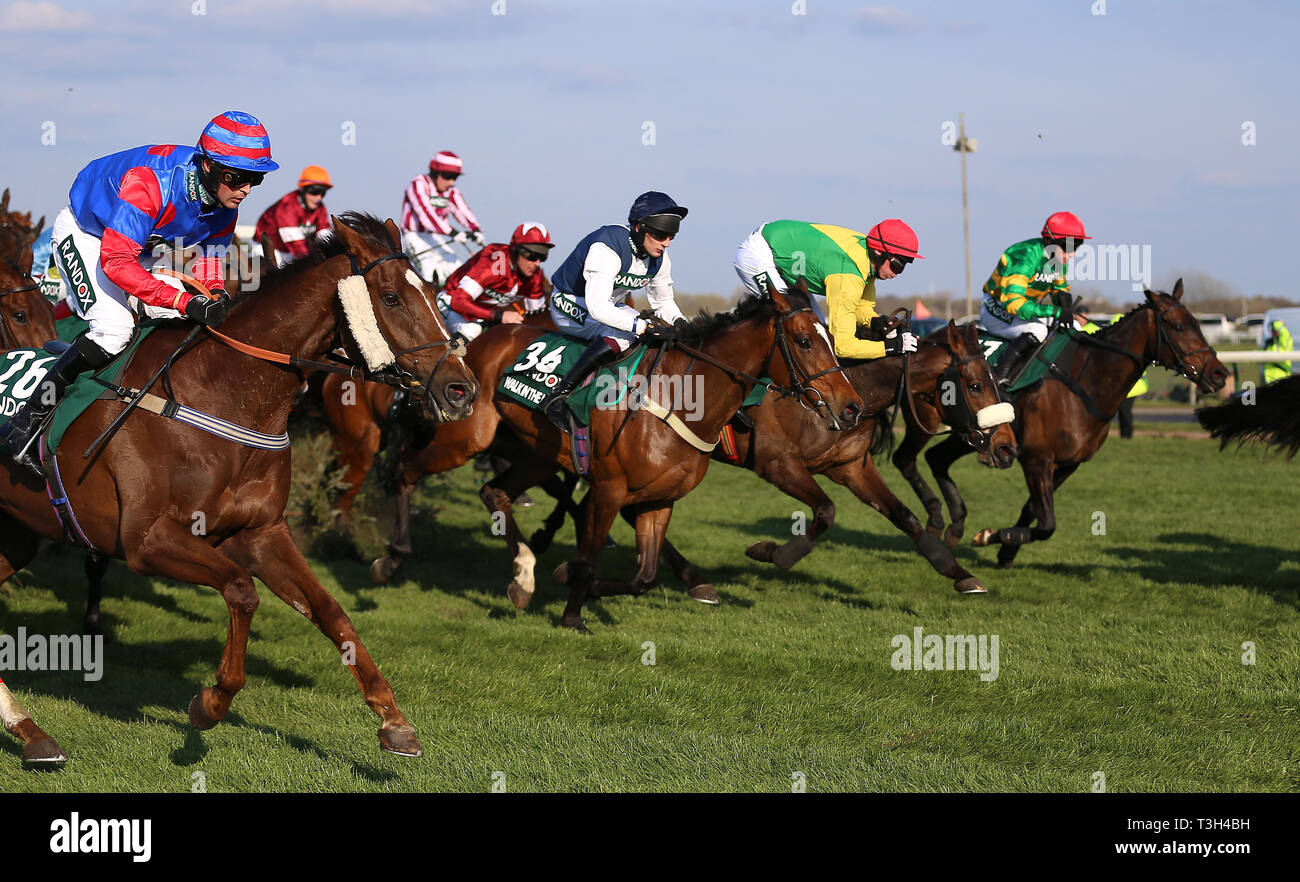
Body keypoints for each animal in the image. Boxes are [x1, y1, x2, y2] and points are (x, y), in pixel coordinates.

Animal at [0, 214, 478, 764]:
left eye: (434, 293)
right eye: (392, 297)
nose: (462, 390)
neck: (222, 393)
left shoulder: (261, 534)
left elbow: (331, 610)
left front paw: (394, 720)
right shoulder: (147, 541)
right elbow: (241, 590)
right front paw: (210, 702)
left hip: (18, 534)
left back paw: (31, 732)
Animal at [366, 283, 863, 629]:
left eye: (830, 337)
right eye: (803, 340)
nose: (851, 407)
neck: (680, 399)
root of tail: (465, 347)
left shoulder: (659, 500)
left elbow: (644, 577)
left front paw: (568, 578)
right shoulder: (609, 489)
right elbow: (590, 560)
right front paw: (572, 613)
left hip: (535, 454)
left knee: (494, 493)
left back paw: (523, 577)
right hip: (466, 438)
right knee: (404, 471)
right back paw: (392, 556)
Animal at [899, 283, 1222, 572]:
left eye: (1197, 324)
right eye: (1178, 327)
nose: (1219, 374)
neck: (1084, 384)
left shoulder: (1068, 464)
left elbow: (1034, 511)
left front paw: (1005, 550)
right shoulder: (1036, 459)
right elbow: (1047, 524)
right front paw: (992, 536)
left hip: (973, 437)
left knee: (936, 458)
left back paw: (955, 525)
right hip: (924, 422)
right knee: (905, 458)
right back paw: (936, 520)